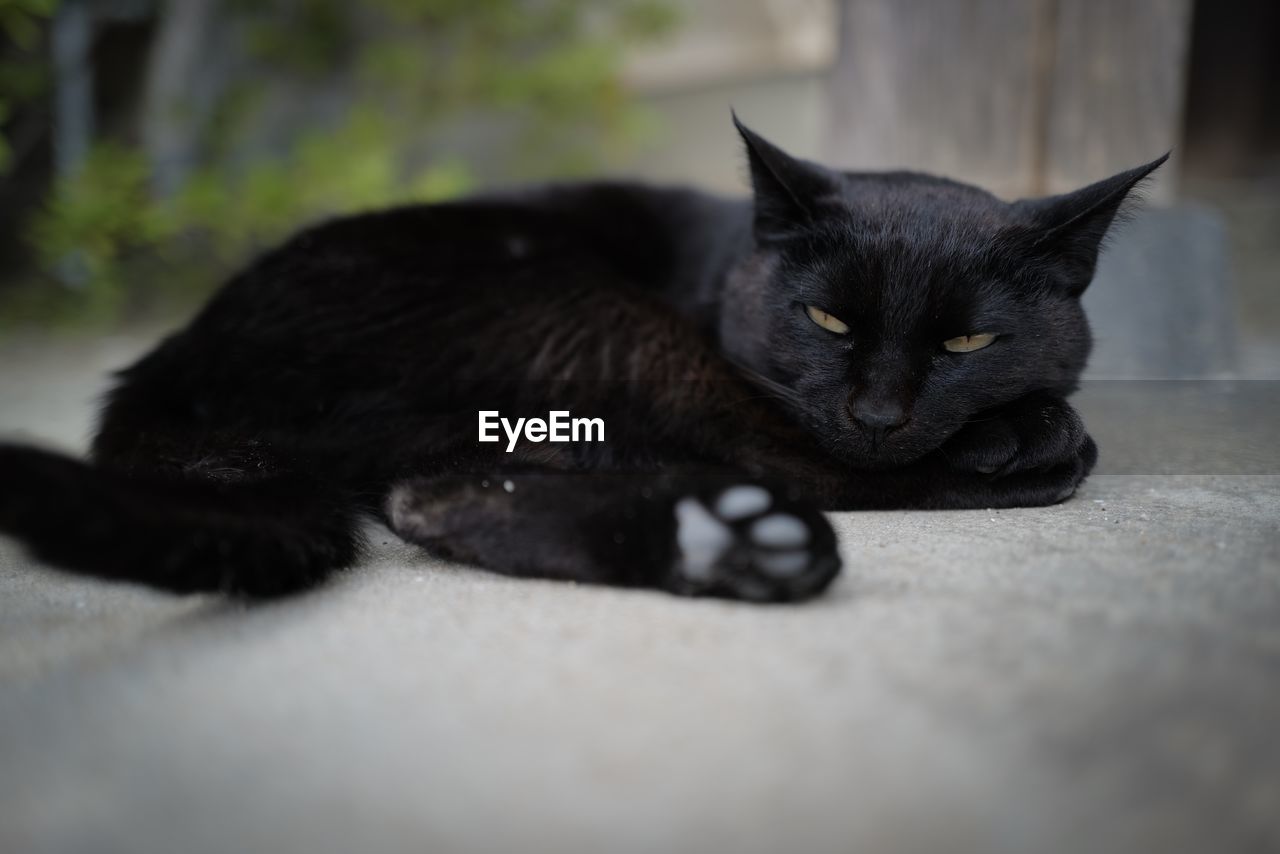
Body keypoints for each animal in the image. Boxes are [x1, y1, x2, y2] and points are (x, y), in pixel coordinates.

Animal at [0, 117, 1167, 604]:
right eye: (828, 320)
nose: (879, 411)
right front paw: (1029, 431)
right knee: (792, 464)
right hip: (592, 315)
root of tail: (169, 360)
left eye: (966, 339)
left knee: (434, 493)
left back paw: (725, 547)